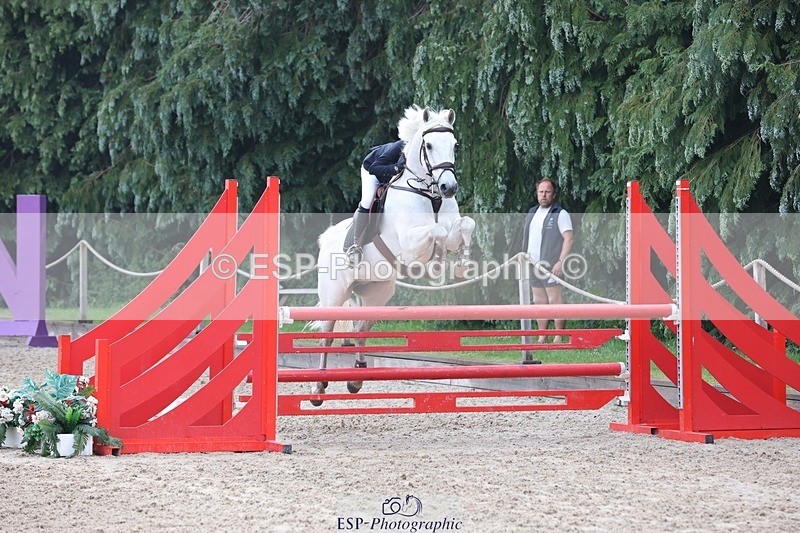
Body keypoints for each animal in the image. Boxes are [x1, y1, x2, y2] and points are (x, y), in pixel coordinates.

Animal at [312, 105, 476, 404]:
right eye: (429, 145)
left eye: (455, 145)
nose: (449, 188)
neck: (429, 193)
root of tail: (326, 238)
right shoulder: (411, 245)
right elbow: (437, 231)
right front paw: (438, 264)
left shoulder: (453, 227)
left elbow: (465, 225)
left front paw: (461, 265)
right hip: (334, 294)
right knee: (327, 335)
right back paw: (318, 388)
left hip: (376, 293)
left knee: (360, 330)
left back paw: (357, 379)